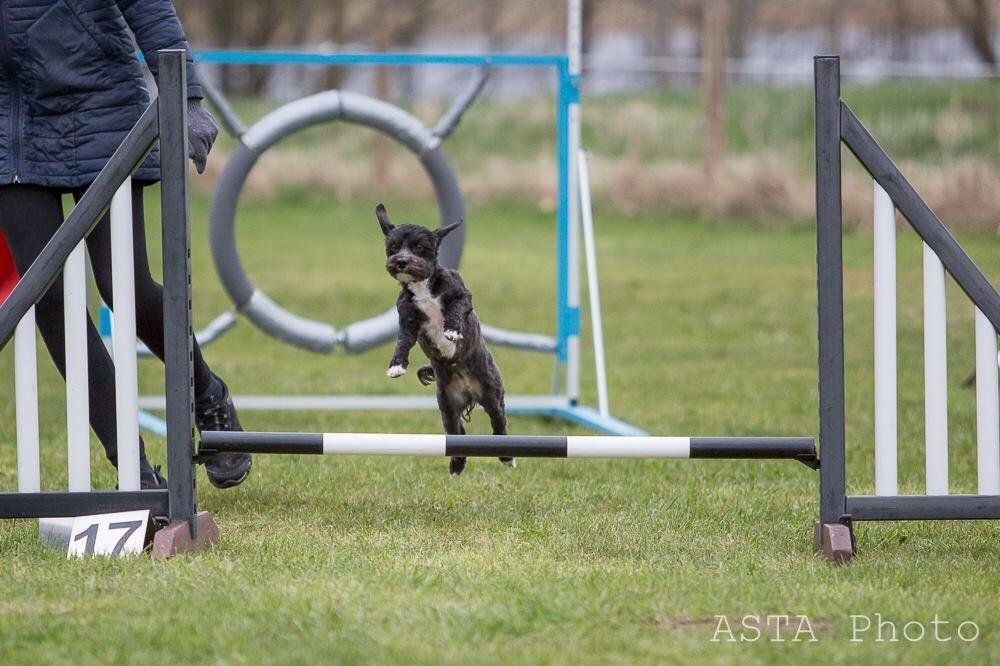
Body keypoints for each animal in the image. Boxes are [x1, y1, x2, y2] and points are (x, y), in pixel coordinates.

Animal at [376, 202, 512, 472]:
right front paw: (396, 366)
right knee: (457, 432)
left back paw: (507, 457)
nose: (402, 261)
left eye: (420, 246)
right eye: (394, 246)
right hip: (448, 404)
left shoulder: (462, 296)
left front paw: (451, 331)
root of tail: (469, 392)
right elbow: (402, 342)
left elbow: (455, 310)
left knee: (498, 422)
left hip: (492, 393)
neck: (422, 286)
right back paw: (456, 465)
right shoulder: (408, 319)